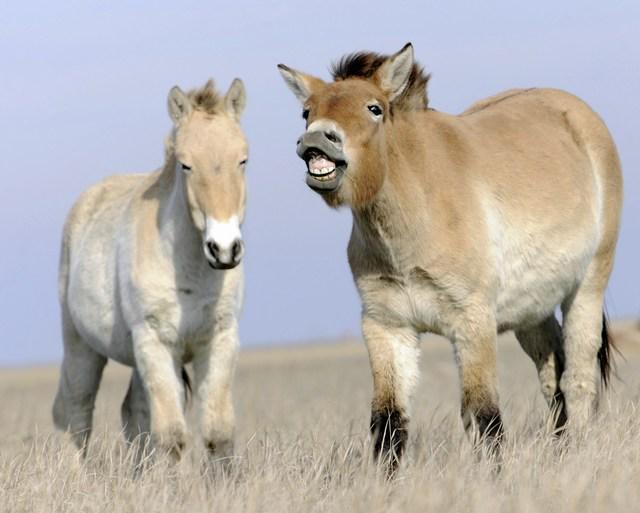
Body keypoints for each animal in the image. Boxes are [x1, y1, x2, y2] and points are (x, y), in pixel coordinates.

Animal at [278, 43, 624, 472]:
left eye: (374, 108)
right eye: (306, 111)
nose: (317, 140)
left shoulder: (473, 323)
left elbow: (483, 414)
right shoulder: (387, 327)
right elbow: (389, 419)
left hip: (587, 288)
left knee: (578, 380)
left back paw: (578, 453)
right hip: (532, 310)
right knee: (553, 375)